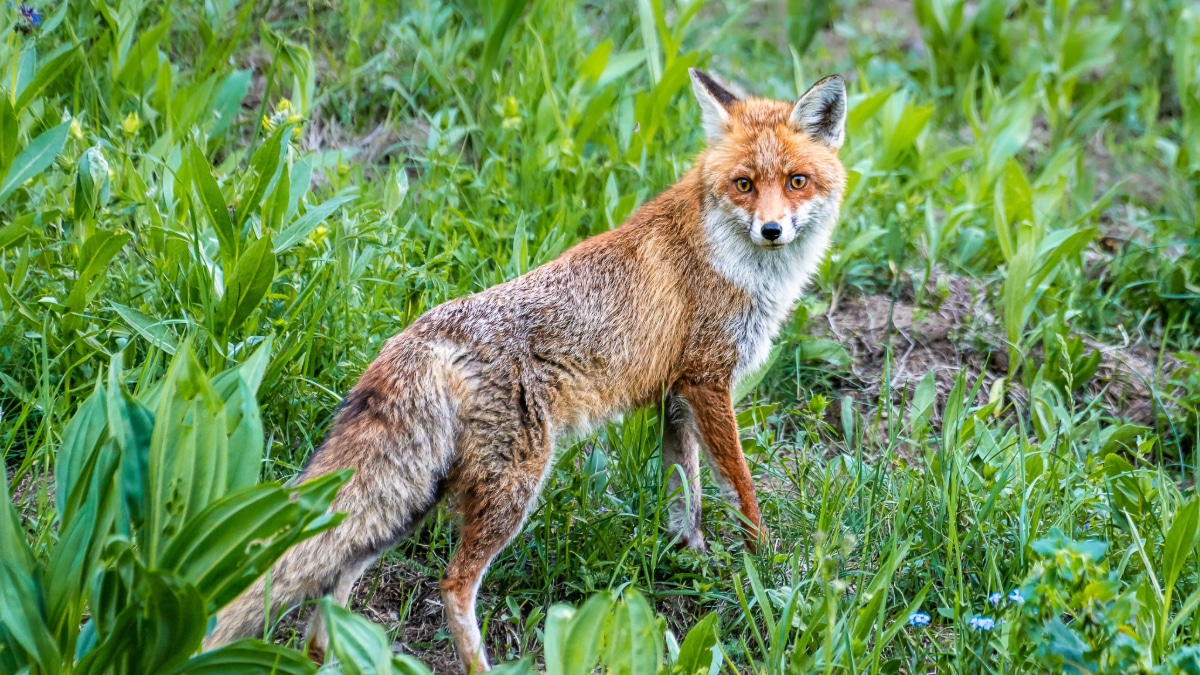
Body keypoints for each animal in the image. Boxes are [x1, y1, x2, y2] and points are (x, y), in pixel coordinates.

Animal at [206, 70, 844, 667]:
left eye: (796, 181)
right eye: (744, 184)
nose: (771, 230)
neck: (730, 260)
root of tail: (417, 335)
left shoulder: (677, 393)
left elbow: (682, 493)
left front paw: (691, 562)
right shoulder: (709, 382)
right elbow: (740, 488)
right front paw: (765, 565)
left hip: (411, 502)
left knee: (334, 583)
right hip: (511, 488)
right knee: (452, 584)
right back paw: (478, 665)